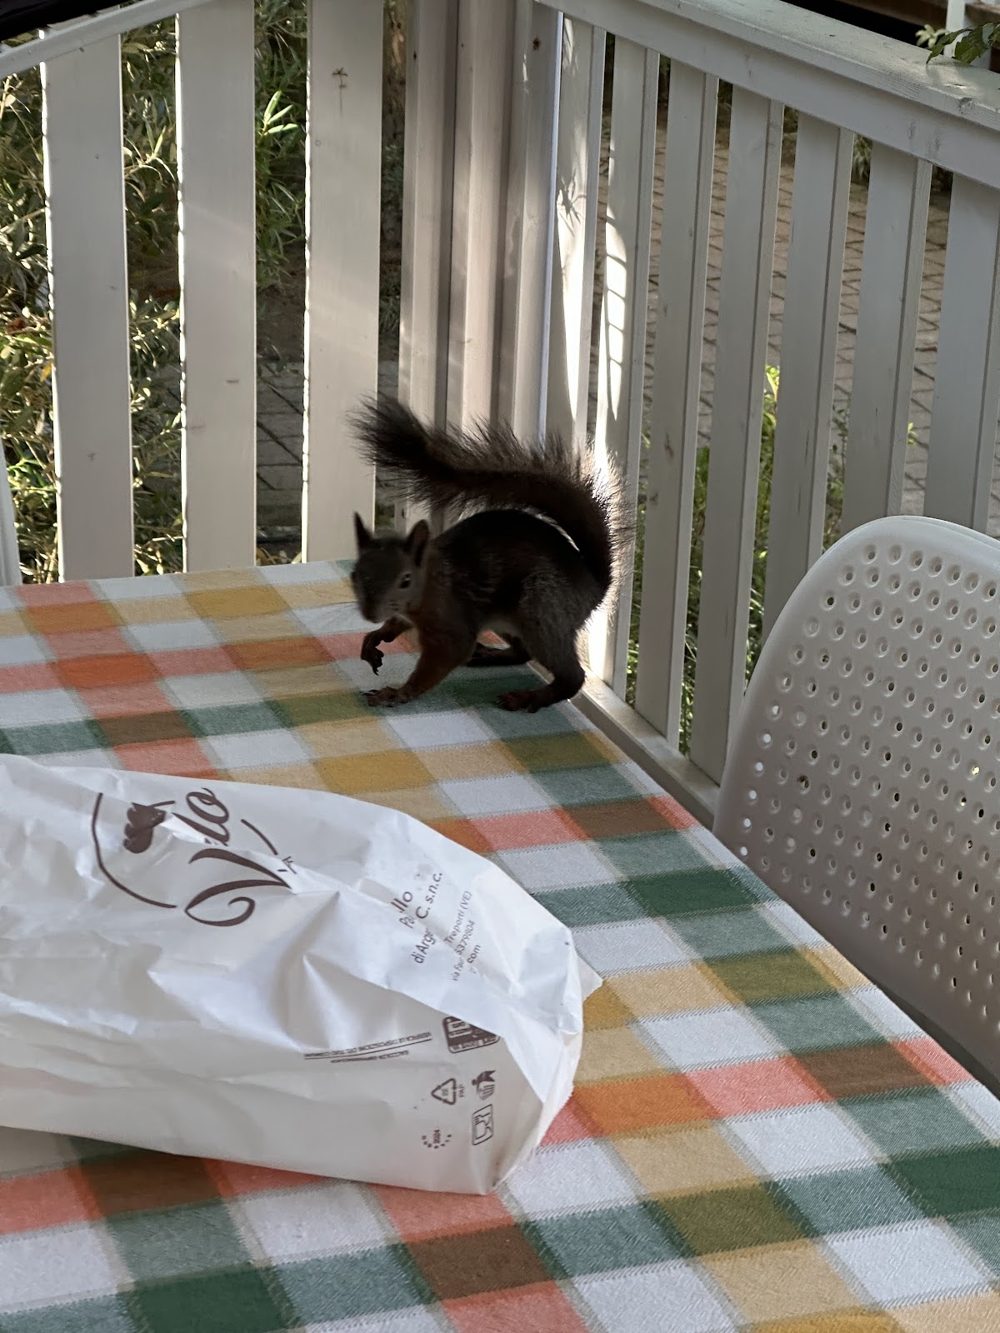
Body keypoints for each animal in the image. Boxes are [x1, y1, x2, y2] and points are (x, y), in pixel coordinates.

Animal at [348, 398, 621, 713]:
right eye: (355, 574)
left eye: (405, 580)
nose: (370, 613)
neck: (430, 580)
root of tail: (593, 584)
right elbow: (395, 624)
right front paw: (376, 638)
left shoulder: (450, 620)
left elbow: (447, 655)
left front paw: (396, 693)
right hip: (513, 620)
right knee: (522, 652)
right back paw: (490, 657)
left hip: (543, 610)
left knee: (571, 677)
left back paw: (527, 697)